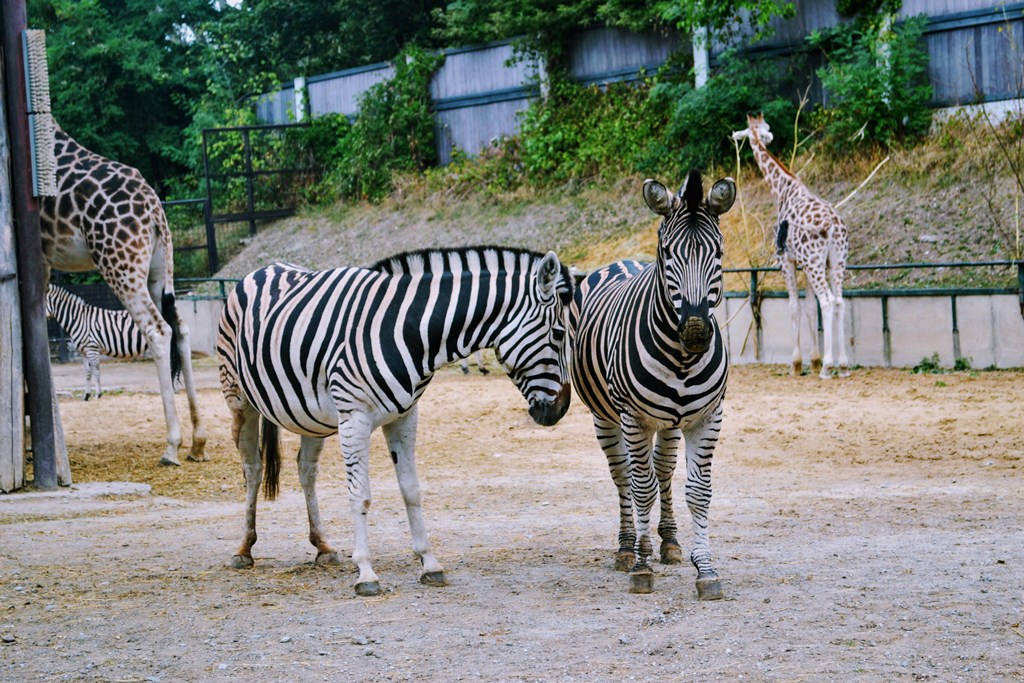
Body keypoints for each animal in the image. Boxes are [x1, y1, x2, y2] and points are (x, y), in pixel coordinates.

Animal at [40, 122, 207, 464]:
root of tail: (155, 209)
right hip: (160, 267)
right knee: (181, 328)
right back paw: (198, 441)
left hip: (119, 265)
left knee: (159, 330)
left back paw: (172, 445)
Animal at [217, 246, 577, 598]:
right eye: (559, 334)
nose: (560, 409)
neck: (410, 333)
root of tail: (263, 269)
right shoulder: (355, 416)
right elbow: (360, 494)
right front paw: (365, 572)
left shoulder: (405, 416)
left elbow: (411, 490)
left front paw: (429, 563)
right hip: (239, 400)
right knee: (253, 468)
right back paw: (244, 548)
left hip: (310, 417)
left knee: (306, 470)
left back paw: (322, 546)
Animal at [569, 171, 737, 598]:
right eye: (668, 254)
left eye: (718, 253)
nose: (695, 332)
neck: (681, 359)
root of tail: (622, 261)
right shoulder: (634, 418)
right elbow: (639, 487)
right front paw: (642, 567)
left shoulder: (707, 418)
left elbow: (699, 492)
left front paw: (705, 569)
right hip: (607, 418)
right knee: (624, 476)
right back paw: (628, 547)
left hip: (669, 423)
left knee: (662, 470)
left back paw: (670, 541)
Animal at [733, 112, 851, 378]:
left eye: (746, 131)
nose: (735, 136)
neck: (782, 189)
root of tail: (833, 225)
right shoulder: (803, 264)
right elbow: (809, 309)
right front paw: (813, 360)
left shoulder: (785, 260)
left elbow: (794, 307)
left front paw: (797, 364)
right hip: (836, 261)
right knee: (839, 302)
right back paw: (843, 365)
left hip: (817, 262)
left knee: (828, 301)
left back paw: (828, 367)